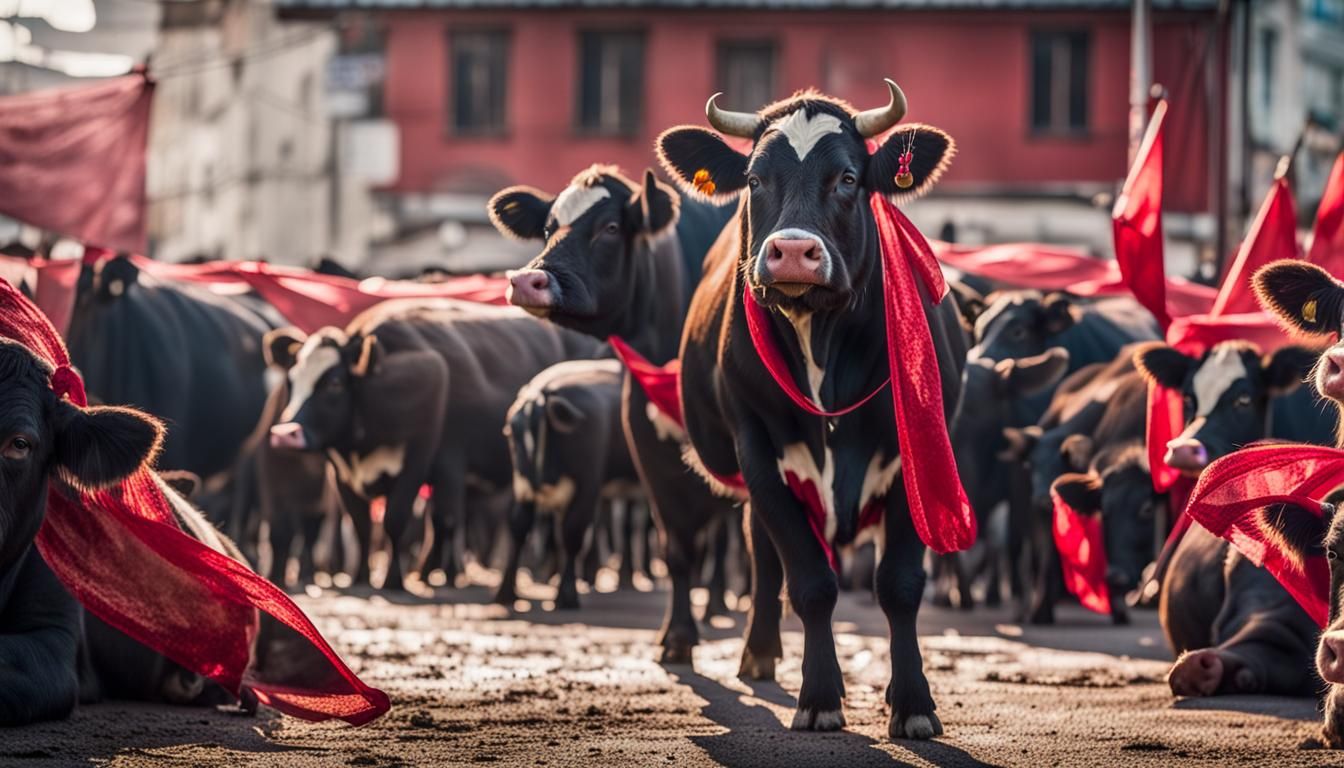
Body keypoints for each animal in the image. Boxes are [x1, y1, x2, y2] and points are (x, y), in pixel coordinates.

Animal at [264, 300, 602, 591]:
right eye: (291, 381)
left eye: (334, 383)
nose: (285, 432)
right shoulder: (342, 474)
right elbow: (362, 525)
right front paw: (360, 577)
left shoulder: (428, 459)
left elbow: (399, 520)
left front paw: (394, 580)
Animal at [652, 82, 964, 738]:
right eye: (753, 178)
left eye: (848, 177)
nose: (793, 253)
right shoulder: (756, 447)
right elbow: (808, 580)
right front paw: (819, 695)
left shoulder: (916, 456)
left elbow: (899, 585)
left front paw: (913, 703)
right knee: (746, 552)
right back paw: (747, 651)